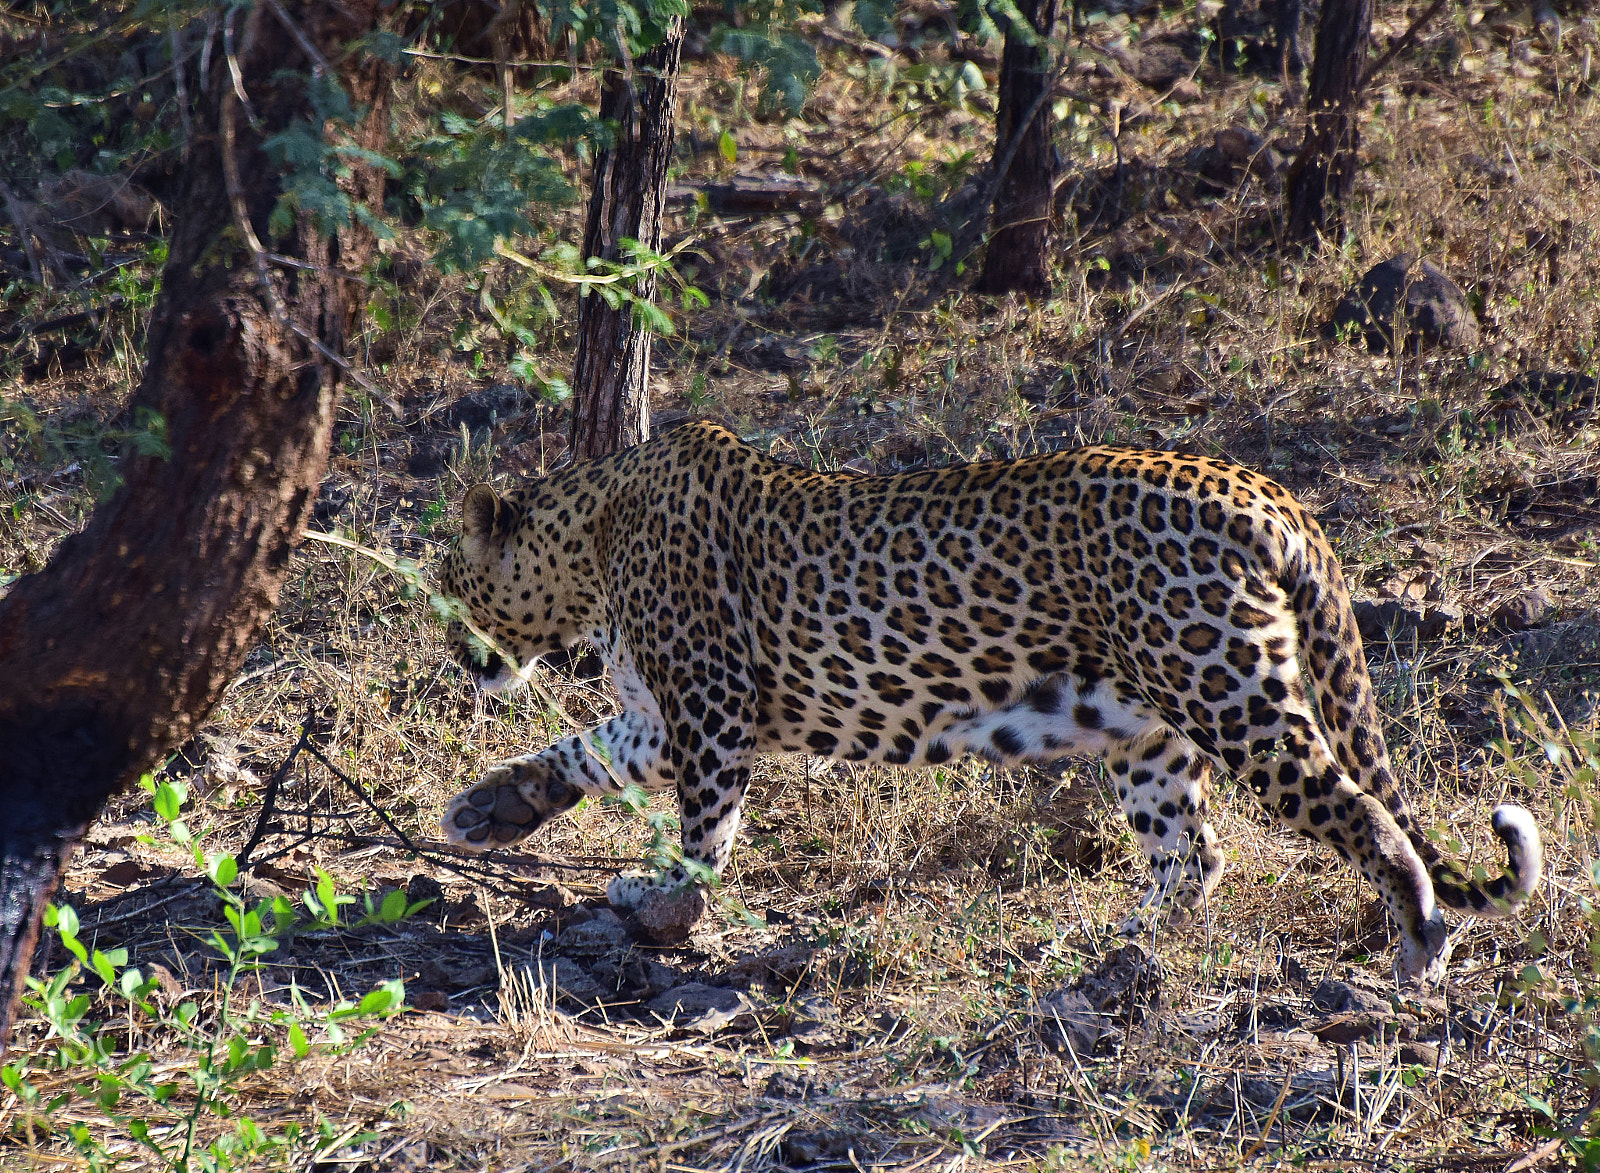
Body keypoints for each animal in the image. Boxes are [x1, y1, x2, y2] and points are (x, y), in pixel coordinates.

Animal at [436, 421, 1542, 982]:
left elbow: (703, 821)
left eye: (449, 573)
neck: (591, 541)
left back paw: (1418, 945)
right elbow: (592, 746)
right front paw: (495, 805)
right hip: (1147, 726)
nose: (454, 651)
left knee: (1358, 815)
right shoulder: (668, 711)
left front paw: (667, 904)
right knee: (1192, 855)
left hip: (1232, 695)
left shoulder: (711, 704)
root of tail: (1267, 494)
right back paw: (1105, 946)